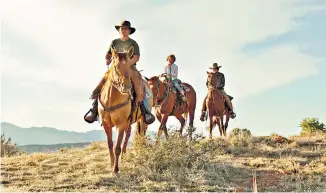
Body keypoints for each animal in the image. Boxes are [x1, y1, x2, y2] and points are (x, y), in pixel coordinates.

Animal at [97, 46, 153, 175]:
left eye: (130, 66)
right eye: (116, 67)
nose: (127, 87)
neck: (111, 100)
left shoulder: (121, 124)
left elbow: (117, 146)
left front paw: (116, 169)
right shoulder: (107, 124)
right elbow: (110, 145)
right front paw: (112, 164)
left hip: (142, 120)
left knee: (141, 134)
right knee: (128, 134)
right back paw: (124, 155)